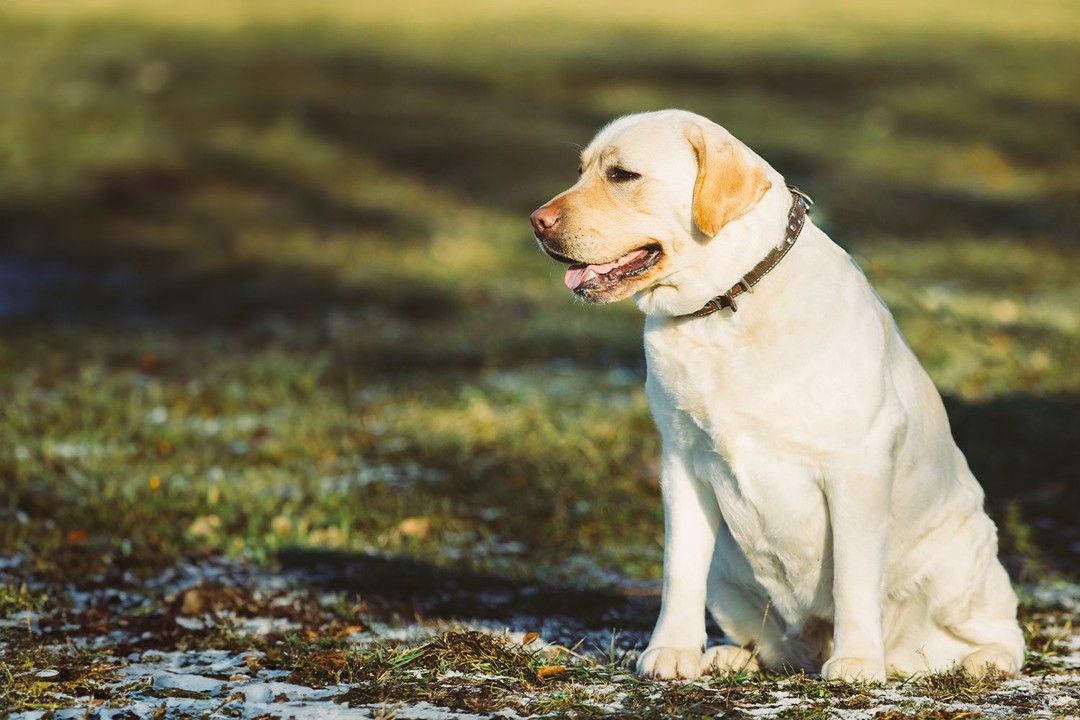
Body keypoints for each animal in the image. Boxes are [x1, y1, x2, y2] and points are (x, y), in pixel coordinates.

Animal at [535, 111, 1023, 682]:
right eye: (582, 171)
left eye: (622, 175)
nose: (536, 222)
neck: (727, 305)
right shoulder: (681, 463)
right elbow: (679, 569)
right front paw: (672, 651)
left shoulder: (857, 465)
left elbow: (854, 578)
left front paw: (857, 662)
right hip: (728, 574)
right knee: (775, 645)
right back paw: (731, 656)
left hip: (960, 561)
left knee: (1001, 632)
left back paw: (982, 662)